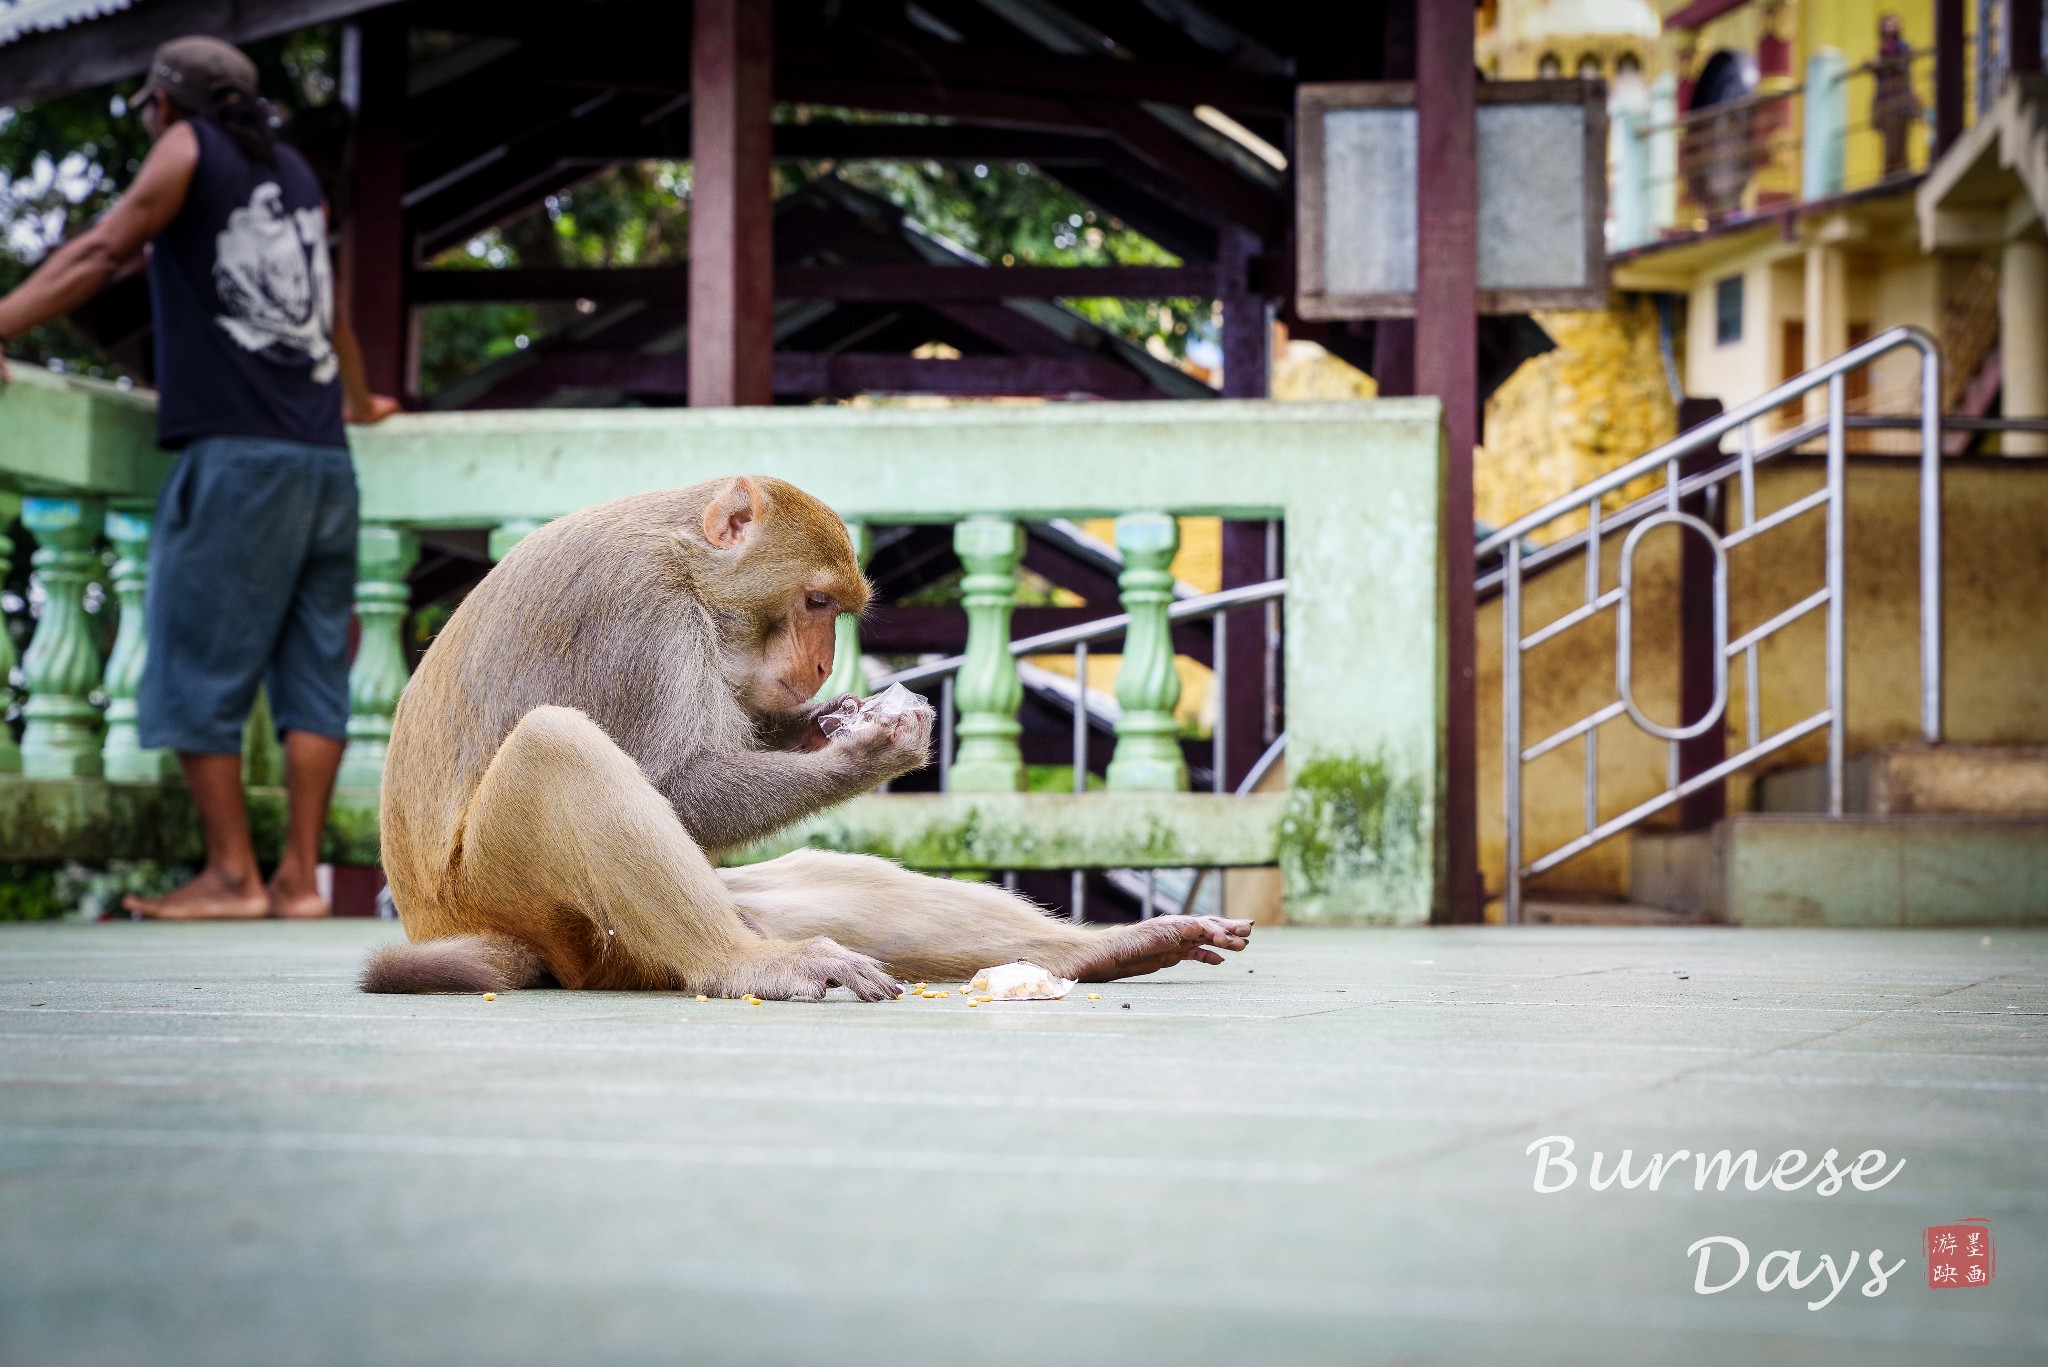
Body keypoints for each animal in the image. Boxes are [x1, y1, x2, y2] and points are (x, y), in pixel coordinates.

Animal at [362, 475, 1253, 1000]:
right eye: (816, 602)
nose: (823, 663)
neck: (686, 559)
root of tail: (446, 926)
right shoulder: (639, 612)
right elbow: (671, 782)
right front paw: (870, 749)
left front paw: (837, 718)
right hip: (539, 911)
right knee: (555, 746)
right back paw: (745, 963)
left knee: (833, 878)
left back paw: (1096, 951)